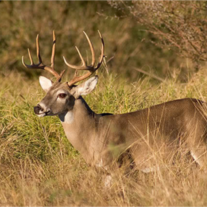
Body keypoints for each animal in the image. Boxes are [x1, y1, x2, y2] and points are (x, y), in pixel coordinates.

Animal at [22, 31, 207, 176]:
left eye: (62, 94)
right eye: (47, 91)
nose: (38, 108)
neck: (94, 132)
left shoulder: (121, 165)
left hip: (200, 143)